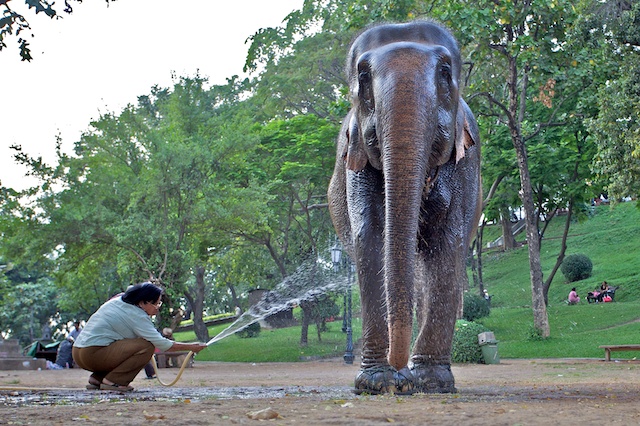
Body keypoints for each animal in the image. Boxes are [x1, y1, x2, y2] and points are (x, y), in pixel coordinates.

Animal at [328, 19, 482, 392]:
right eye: (362, 76)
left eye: (445, 71)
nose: (401, 372)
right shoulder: (356, 161)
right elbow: (370, 238)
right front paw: (377, 382)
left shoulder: (468, 161)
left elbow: (449, 243)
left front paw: (432, 382)